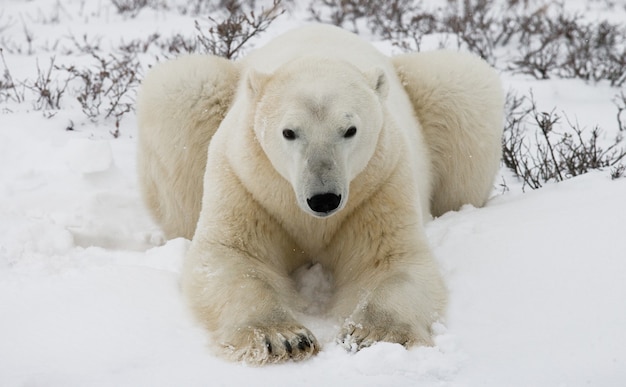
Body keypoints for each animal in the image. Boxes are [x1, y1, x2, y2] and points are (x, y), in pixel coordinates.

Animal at [136, 23, 502, 364]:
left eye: (350, 129)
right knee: (181, 89)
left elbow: (389, 259)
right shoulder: (248, 182)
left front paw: (373, 333)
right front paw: (281, 338)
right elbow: (232, 256)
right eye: (289, 132)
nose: (323, 198)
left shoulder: (379, 184)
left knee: (462, 85)